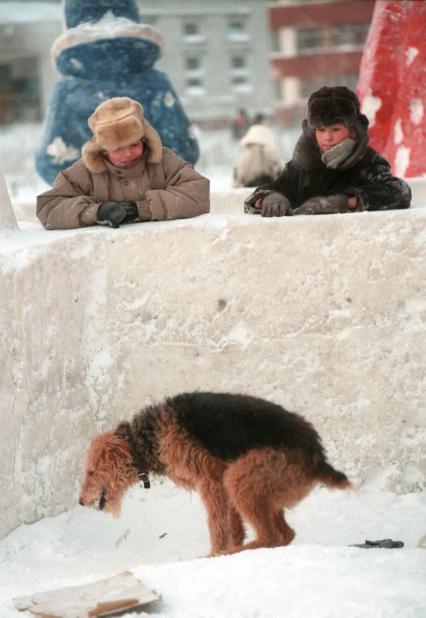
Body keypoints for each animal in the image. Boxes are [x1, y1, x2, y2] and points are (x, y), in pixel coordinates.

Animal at [79, 392, 350, 556]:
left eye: (91, 471)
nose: (80, 502)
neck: (146, 439)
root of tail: (318, 457)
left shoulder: (211, 481)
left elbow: (217, 524)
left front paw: (216, 553)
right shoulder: (219, 480)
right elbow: (233, 525)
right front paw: (232, 542)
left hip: (239, 479)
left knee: (272, 535)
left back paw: (232, 553)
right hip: (261, 490)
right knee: (285, 534)